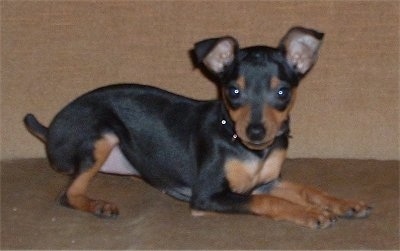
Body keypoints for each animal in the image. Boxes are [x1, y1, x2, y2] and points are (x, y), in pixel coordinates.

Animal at [24, 26, 372, 228]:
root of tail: (51, 130)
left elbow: (307, 189)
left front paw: (344, 204)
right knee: (69, 193)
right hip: (101, 134)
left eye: (283, 92)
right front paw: (311, 214)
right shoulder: (209, 195)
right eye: (233, 92)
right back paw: (98, 204)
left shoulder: (266, 181)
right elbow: (270, 201)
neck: (247, 148)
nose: (256, 133)